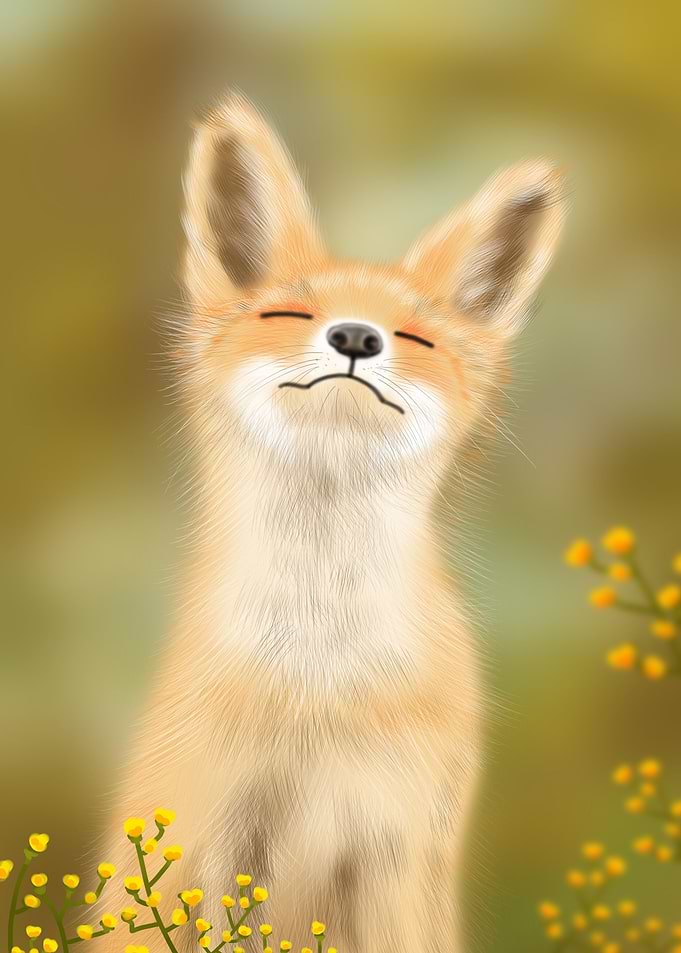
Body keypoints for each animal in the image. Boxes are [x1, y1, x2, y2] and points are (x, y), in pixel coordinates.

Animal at [98, 94, 566, 953]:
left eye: (418, 337)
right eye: (288, 312)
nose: (355, 336)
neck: (317, 692)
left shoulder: (399, 849)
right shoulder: (217, 839)